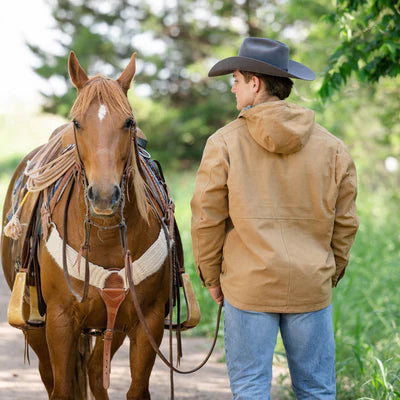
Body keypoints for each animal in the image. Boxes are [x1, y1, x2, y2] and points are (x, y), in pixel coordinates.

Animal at [1, 51, 173, 398]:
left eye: (129, 122)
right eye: (78, 122)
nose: (104, 195)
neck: (106, 236)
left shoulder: (146, 320)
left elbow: (136, 389)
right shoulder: (59, 321)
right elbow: (64, 388)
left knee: (94, 371)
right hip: (36, 327)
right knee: (54, 378)